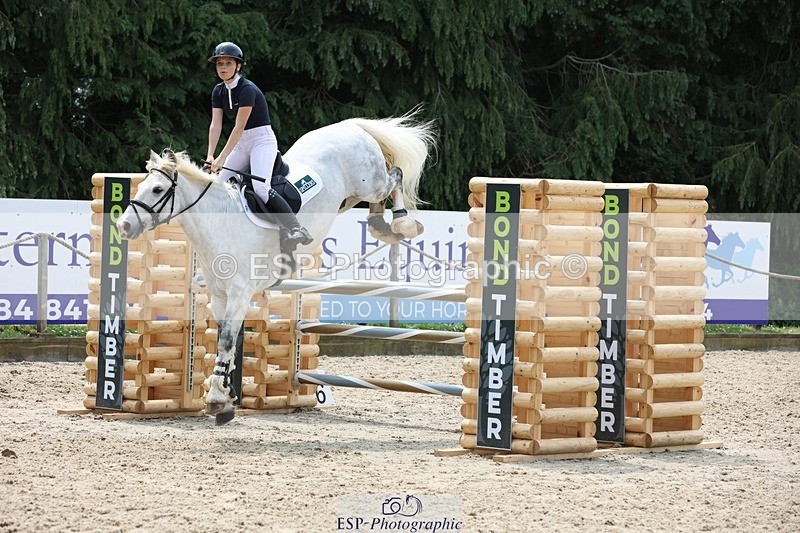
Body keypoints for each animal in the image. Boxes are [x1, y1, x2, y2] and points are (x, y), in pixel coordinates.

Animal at [116, 113, 436, 424]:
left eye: (157, 189)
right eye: (141, 186)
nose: (124, 226)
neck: (221, 223)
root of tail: (351, 125)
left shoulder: (240, 293)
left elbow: (227, 341)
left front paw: (218, 399)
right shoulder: (219, 296)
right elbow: (225, 340)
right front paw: (229, 398)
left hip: (369, 182)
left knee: (394, 176)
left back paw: (402, 222)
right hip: (350, 197)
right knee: (374, 198)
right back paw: (381, 225)